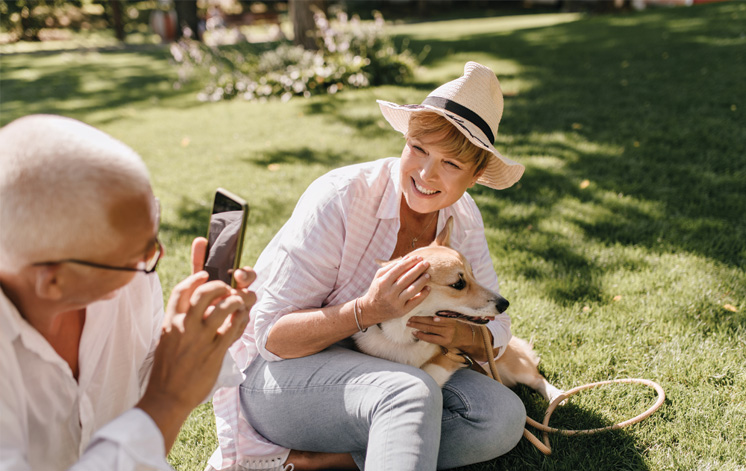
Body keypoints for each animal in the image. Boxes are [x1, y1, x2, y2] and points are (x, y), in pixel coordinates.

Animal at [352, 216, 560, 404]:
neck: (404, 334)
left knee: (536, 377)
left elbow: (430, 373)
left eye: (473, 274)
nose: (505, 304)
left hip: (511, 366)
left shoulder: (449, 356)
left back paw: (557, 397)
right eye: (458, 284)